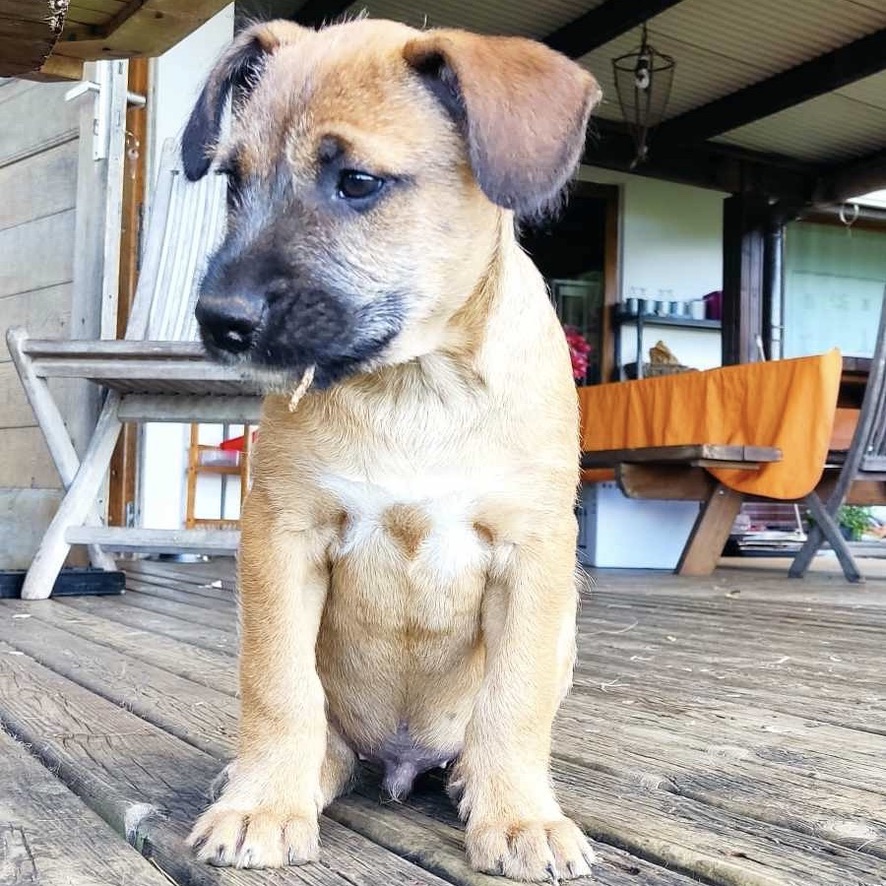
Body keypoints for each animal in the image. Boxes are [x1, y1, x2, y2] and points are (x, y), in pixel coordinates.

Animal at [181, 17, 604, 884]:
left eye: (357, 183)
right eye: (233, 184)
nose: (219, 320)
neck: (415, 386)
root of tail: (402, 764)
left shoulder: (536, 552)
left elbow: (514, 701)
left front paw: (522, 818)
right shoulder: (283, 535)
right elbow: (275, 685)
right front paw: (262, 805)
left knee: (481, 734)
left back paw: (478, 782)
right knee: (321, 732)